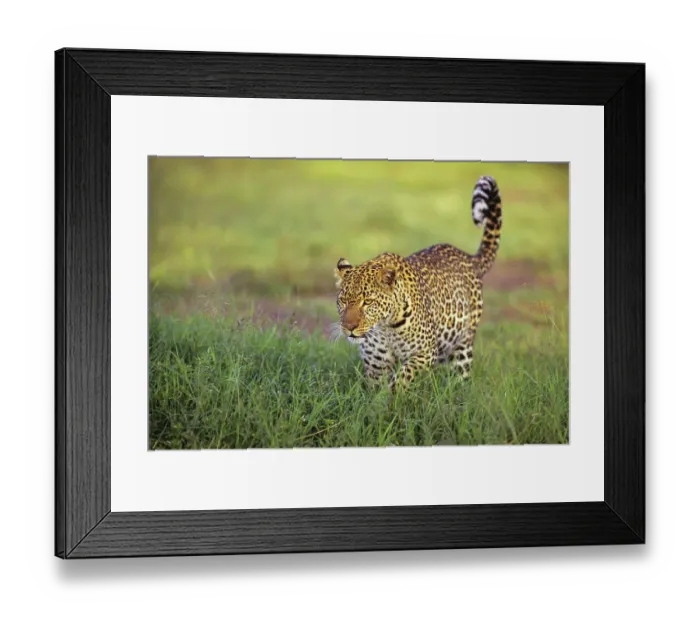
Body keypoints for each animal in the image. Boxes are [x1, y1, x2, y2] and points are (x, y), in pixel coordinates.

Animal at [333, 175, 502, 389]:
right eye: (343, 301)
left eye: (368, 302)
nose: (349, 327)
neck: (385, 327)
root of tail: (469, 257)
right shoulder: (376, 364)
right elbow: (376, 393)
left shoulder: (425, 353)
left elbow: (400, 380)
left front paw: (394, 393)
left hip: (462, 346)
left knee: (460, 376)